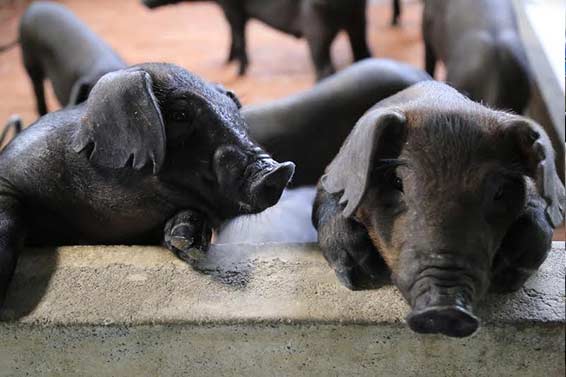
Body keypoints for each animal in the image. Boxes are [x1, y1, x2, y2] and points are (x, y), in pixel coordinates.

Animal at [312, 81, 564, 336]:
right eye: (397, 181)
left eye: (499, 192)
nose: (447, 309)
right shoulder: (329, 177)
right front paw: (363, 278)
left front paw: (507, 277)